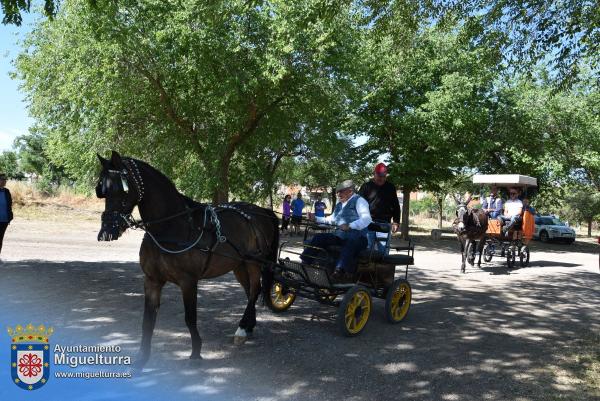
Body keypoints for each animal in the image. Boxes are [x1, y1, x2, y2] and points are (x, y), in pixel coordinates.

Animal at [95, 150, 278, 366]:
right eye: (102, 191)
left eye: (120, 190)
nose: (106, 231)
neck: (172, 226)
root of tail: (261, 210)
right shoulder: (152, 280)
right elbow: (147, 320)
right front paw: (142, 358)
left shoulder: (188, 281)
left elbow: (190, 318)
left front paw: (196, 352)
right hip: (238, 265)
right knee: (250, 291)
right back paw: (248, 326)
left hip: (253, 262)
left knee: (254, 290)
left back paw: (242, 328)